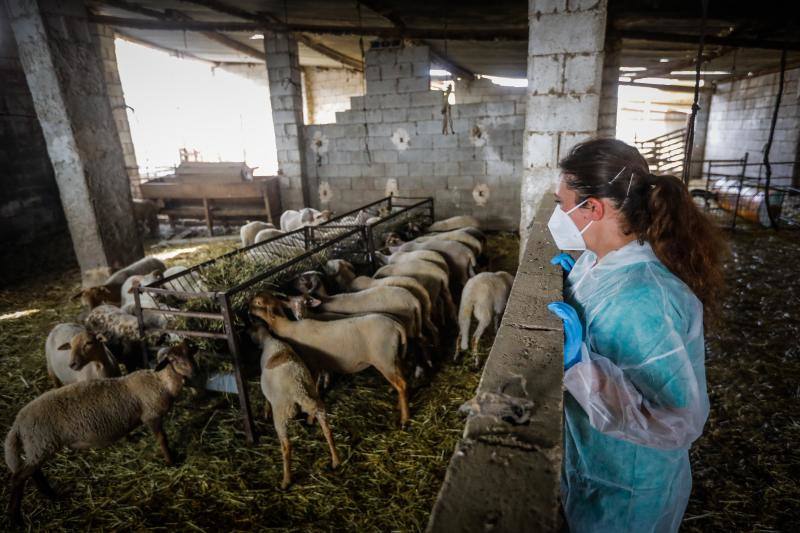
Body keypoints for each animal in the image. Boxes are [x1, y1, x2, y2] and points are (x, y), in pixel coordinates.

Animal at [3, 340, 195, 520]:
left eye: (189, 352)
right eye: (172, 359)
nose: (192, 371)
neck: (160, 382)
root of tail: (18, 423)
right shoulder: (151, 416)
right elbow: (162, 439)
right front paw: (171, 461)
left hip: (36, 447)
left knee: (32, 473)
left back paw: (50, 495)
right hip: (41, 443)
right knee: (18, 477)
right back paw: (15, 515)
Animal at [248, 290, 412, 424]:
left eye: (258, 302)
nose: (248, 309)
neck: (288, 328)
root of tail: (396, 325)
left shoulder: (312, 366)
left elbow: (315, 391)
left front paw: (310, 419)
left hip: (384, 359)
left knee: (401, 384)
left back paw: (404, 419)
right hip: (394, 357)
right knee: (402, 379)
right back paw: (399, 405)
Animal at [248, 322, 340, 488]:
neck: (269, 339)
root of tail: (299, 389)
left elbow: (266, 400)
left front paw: (265, 411)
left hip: (281, 414)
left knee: (286, 446)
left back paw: (286, 480)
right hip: (317, 402)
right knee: (328, 431)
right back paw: (336, 461)